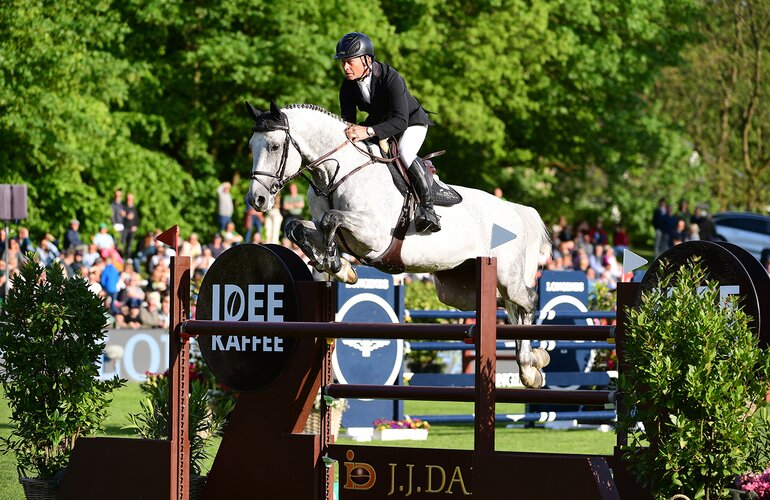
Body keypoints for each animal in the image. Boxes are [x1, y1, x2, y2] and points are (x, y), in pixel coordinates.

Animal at [245, 101, 552, 388]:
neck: (335, 174)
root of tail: (514, 210)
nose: (256, 200)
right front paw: (338, 266)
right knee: (508, 307)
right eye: (251, 146)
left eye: (274, 146)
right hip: (459, 291)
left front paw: (335, 264)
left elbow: (332, 219)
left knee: (527, 300)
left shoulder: (373, 236)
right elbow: (297, 228)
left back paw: (529, 367)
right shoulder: (333, 232)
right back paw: (536, 359)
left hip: (505, 275)